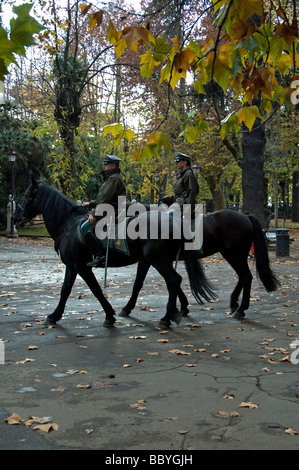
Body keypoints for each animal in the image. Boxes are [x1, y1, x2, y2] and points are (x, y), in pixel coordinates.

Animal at [14, 178, 216, 328]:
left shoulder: (81, 266)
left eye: (27, 196)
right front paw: (55, 315)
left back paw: (167, 318)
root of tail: (174, 221)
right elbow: (65, 290)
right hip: (152, 260)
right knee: (167, 282)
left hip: (158, 260)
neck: (68, 223)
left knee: (174, 280)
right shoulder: (72, 266)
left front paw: (109, 315)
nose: (15, 218)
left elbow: (95, 289)